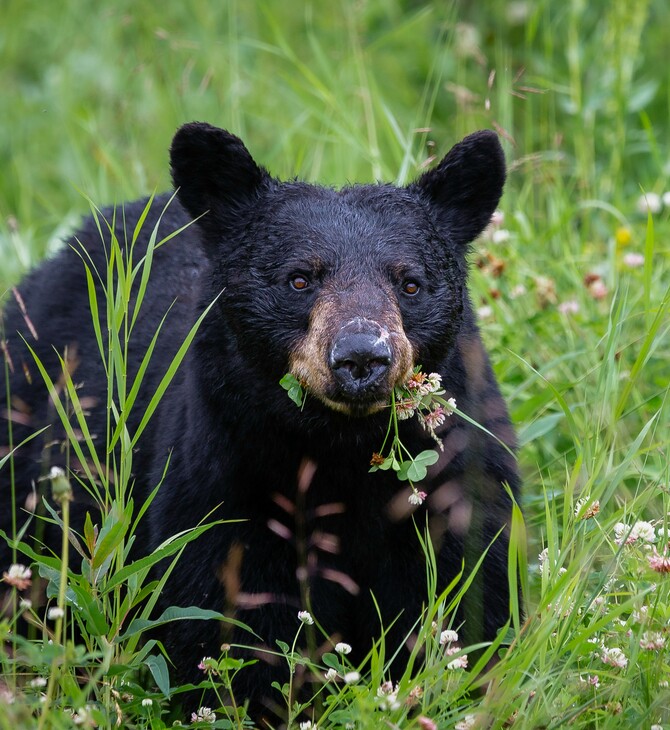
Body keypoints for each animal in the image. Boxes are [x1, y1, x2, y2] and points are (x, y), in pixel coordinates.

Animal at [0, 119, 524, 716]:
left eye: (409, 283)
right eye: (299, 279)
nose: (361, 357)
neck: (339, 450)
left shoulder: (455, 479)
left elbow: (468, 597)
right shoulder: (224, 480)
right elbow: (226, 617)